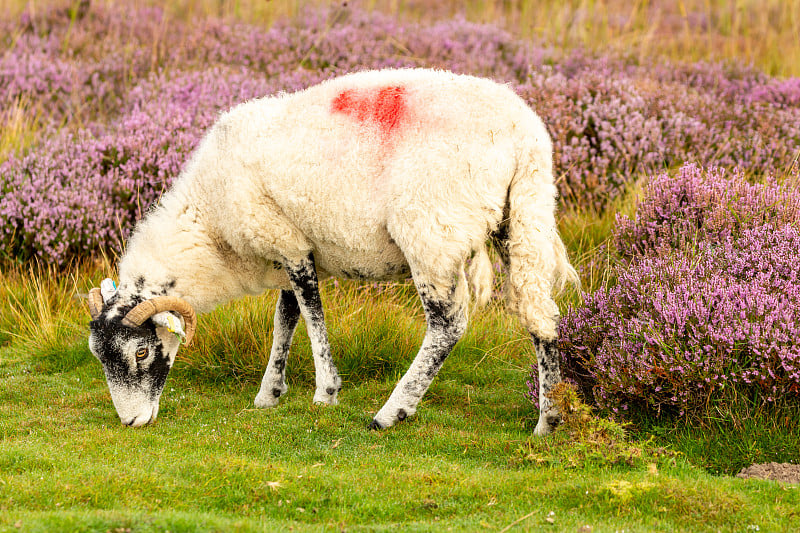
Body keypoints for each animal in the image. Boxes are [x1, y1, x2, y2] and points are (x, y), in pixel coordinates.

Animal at [86, 67, 576, 432]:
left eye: (142, 352)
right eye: (98, 355)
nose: (132, 422)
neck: (209, 224)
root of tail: (525, 136)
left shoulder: (288, 243)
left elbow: (312, 315)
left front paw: (325, 392)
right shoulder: (289, 248)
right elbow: (285, 321)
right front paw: (269, 394)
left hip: (432, 232)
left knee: (448, 326)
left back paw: (392, 411)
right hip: (523, 217)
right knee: (540, 315)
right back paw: (548, 418)